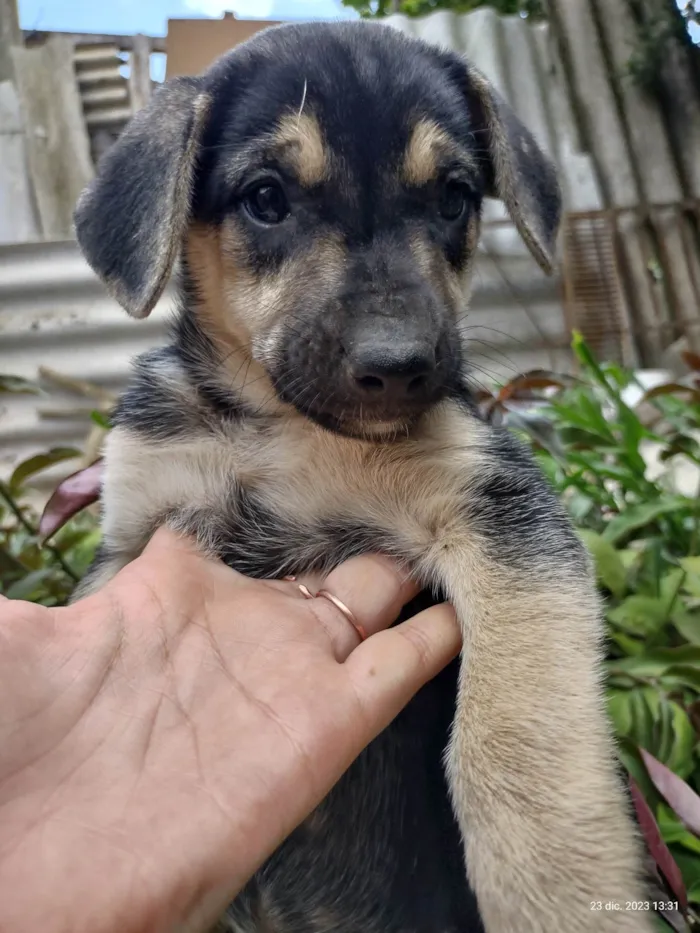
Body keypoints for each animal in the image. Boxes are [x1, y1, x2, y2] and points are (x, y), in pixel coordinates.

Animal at [71, 21, 652, 932]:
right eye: (266, 198)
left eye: (454, 197)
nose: (399, 365)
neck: (277, 426)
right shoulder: (134, 526)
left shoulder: (499, 510)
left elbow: (512, 738)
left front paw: (555, 887)